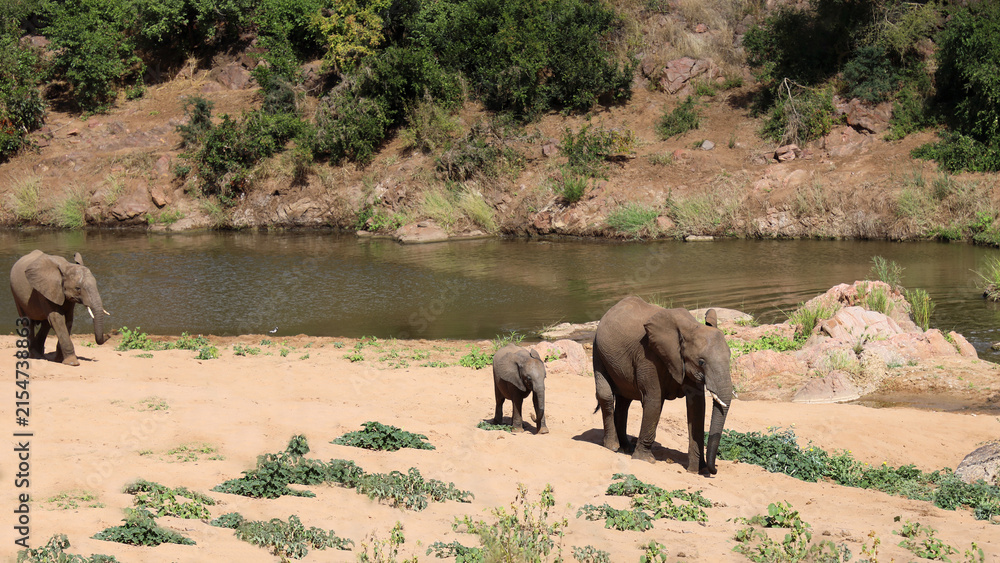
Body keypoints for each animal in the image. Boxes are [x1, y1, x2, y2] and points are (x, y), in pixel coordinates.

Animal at [593, 296, 732, 475]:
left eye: (730, 357)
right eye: (701, 361)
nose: (714, 470)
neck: (690, 327)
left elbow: (697, 407)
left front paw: (696, 471)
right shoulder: (649, 357)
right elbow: (654, 400)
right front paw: (645, 460)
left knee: (625, 400)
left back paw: (626, 448)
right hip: (598, 351)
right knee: (607, 395)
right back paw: (613, 447)